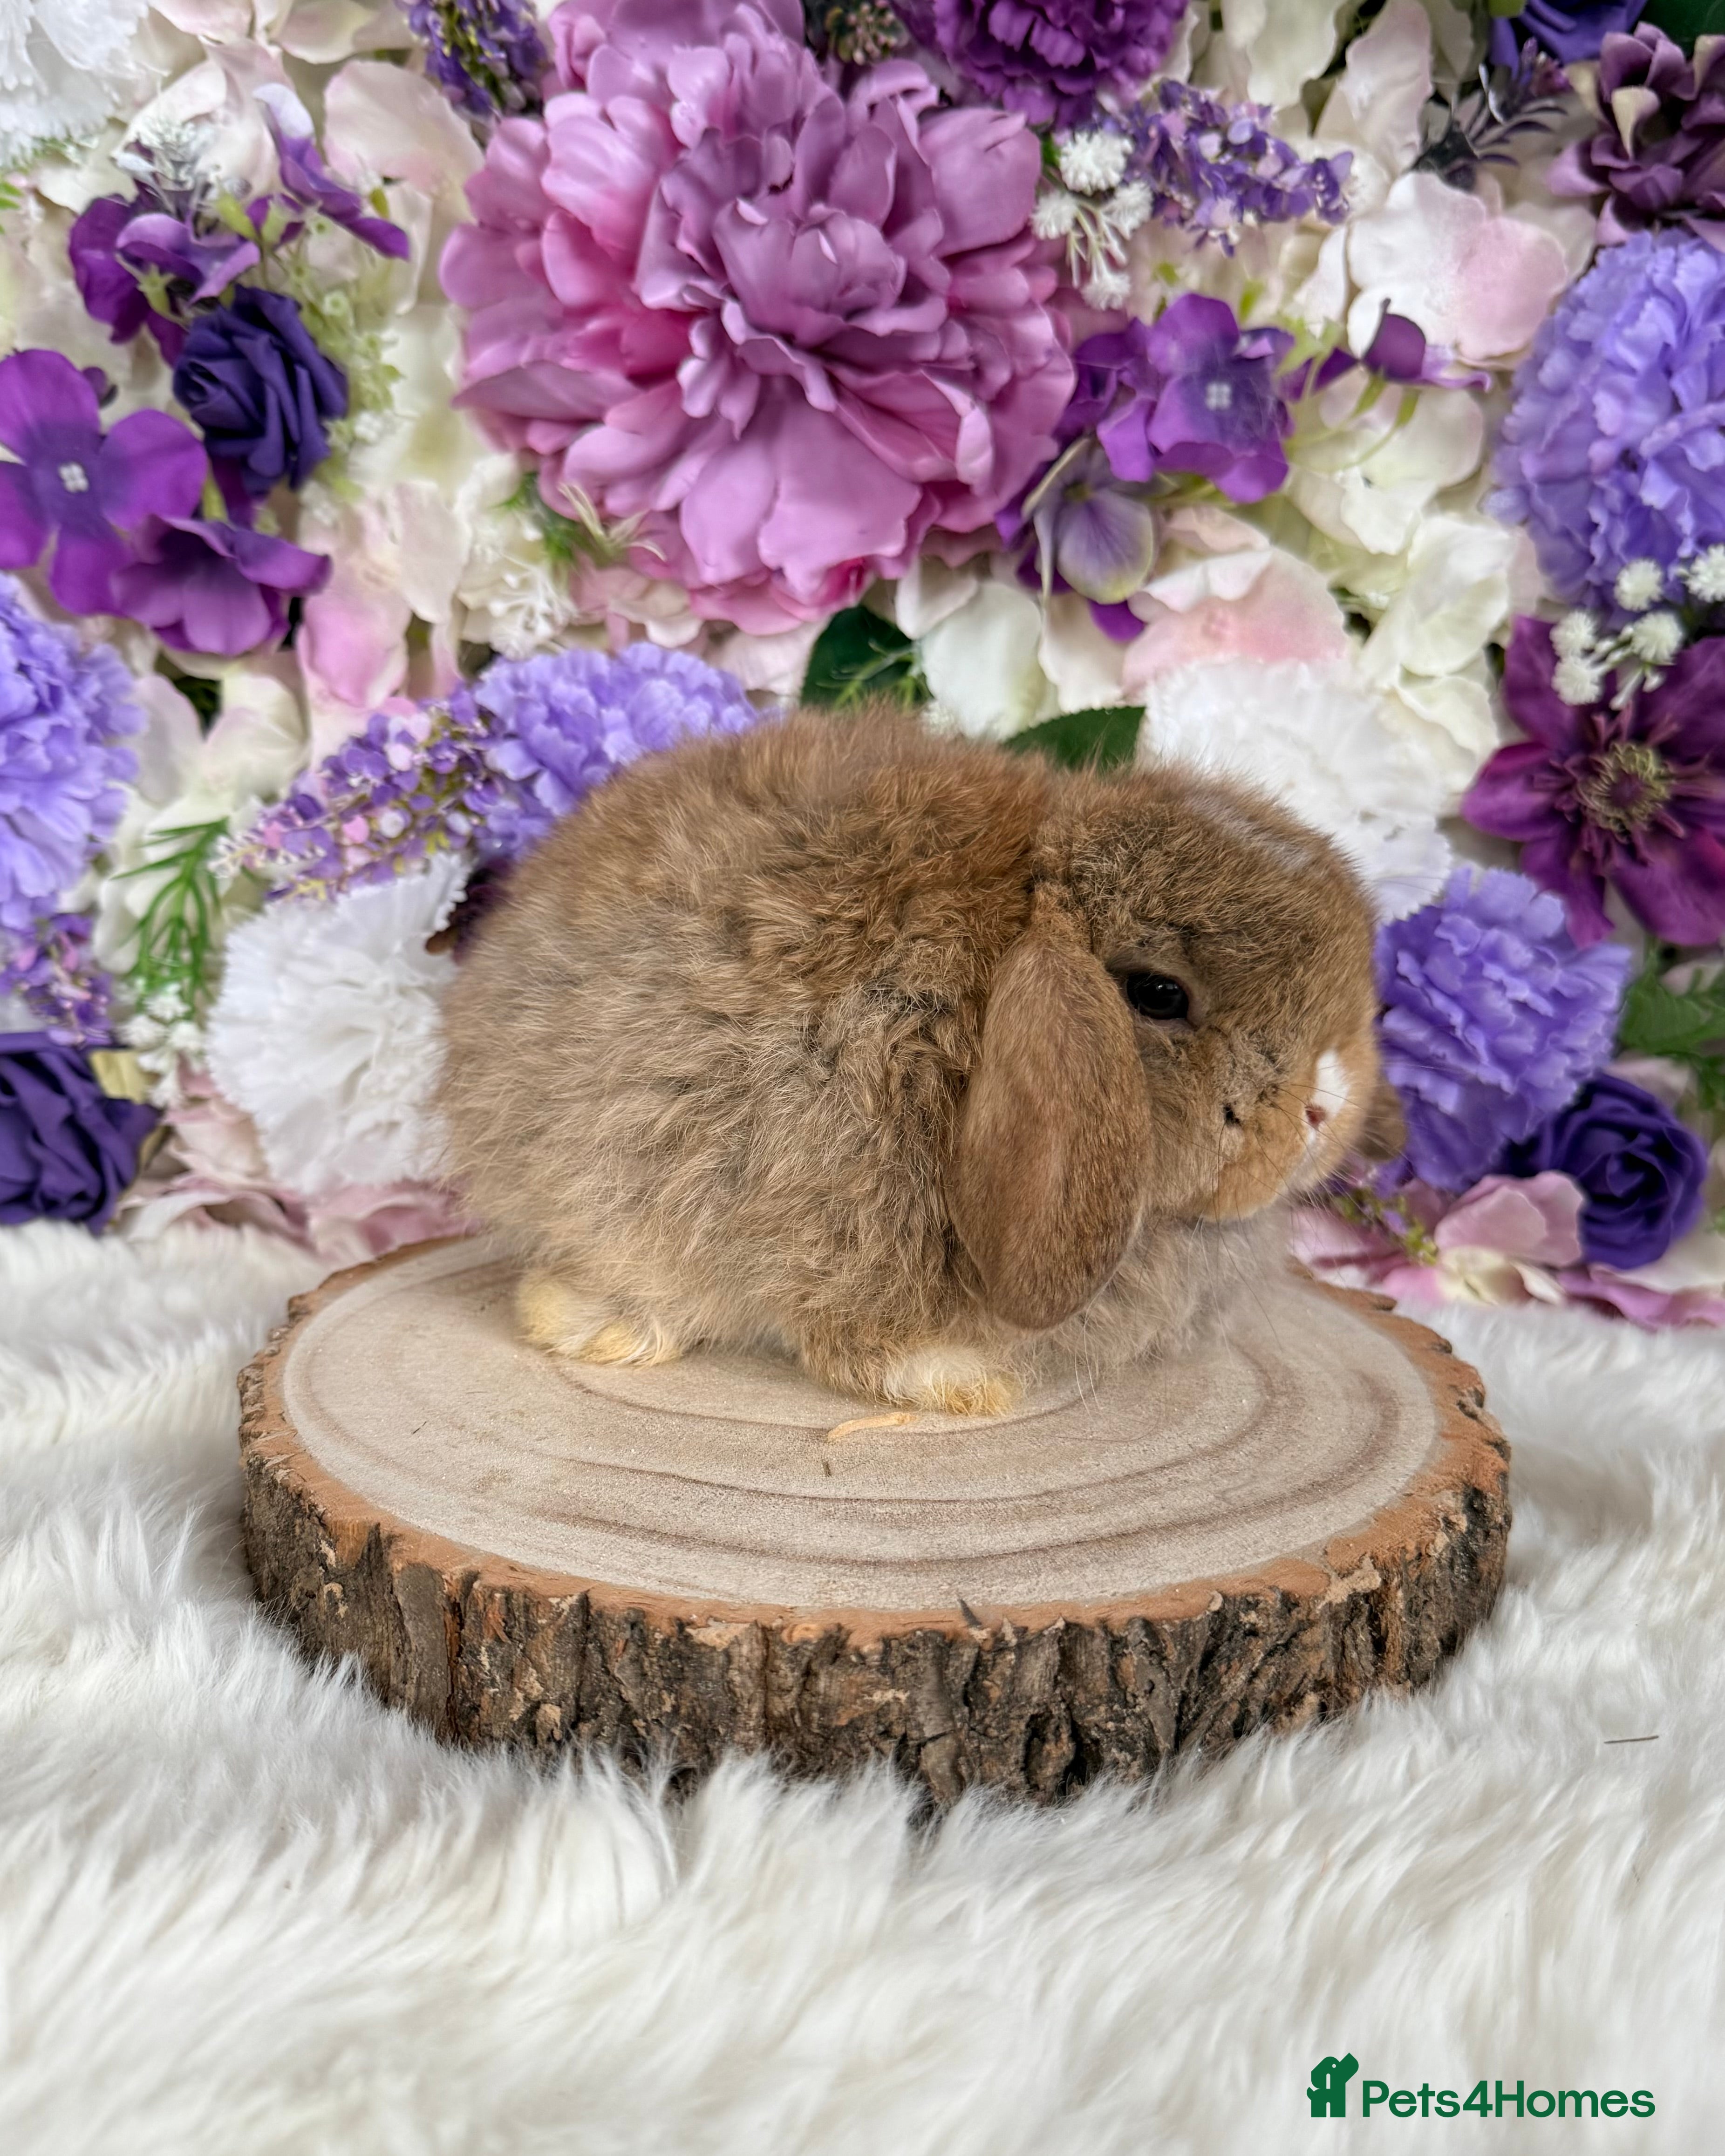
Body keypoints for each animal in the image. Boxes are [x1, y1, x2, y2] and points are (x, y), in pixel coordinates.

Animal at [437, 702, 1396, 1415]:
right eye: (1159, 994)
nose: (1323, 1107)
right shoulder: (838, 1212)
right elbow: (861, 1336)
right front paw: (962, 1380)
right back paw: (595, 1326)